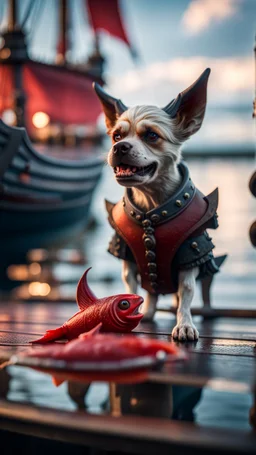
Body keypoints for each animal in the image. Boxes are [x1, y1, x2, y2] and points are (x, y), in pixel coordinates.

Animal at [93, 70, 225, 342]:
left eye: (152, 135)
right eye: (116, 136)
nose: (119, 147)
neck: (151, 205)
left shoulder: (191, 252)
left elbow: (187, 293)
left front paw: (185, 325)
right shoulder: (127, 256)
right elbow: (131, 287)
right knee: (151, 293)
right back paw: (149, 312)